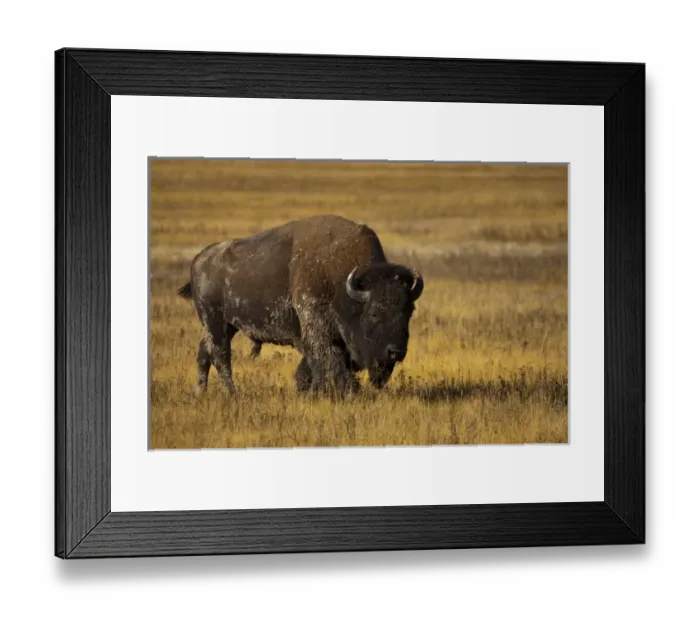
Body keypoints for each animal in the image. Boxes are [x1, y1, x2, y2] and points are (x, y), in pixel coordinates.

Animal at [177, 214, 424, 398]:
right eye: (373, 313)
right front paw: (344, 393)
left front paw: (308, 391)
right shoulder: (318, 330)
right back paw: (232, 394)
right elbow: (329, 361)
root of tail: (199, 259)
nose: (395, 351)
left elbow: (311, 367)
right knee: (221, 355)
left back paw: (200, 392)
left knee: (204, 352)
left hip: (225, 326)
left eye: (409, 311)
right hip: (215, 321)